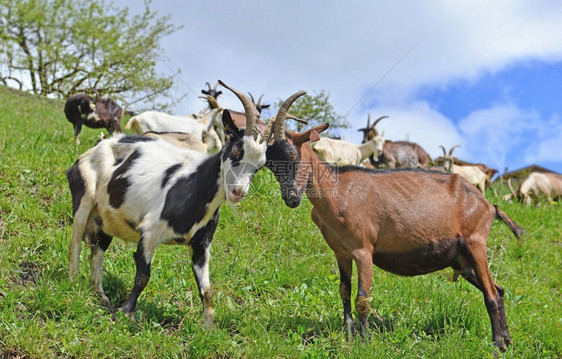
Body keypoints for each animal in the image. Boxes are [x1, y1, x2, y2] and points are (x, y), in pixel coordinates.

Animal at [68, 81, 306, 326]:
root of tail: (100, 145)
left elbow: (207, 290)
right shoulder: (150, 233)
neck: (192, 187)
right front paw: (126, 312)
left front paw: (209, 327)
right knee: (75, 242)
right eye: (236, 150)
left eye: (259, 166)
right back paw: (73, 283)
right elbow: (143, 276)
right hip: (84, 197)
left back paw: (100, 295)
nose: (237, 191)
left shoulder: (201, 245)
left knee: (97, 252)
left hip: (106, 218)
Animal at [274, 124, 520, 352]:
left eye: (293, 154)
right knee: (498, 290)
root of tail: (489, 206)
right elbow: (344, 291)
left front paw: (365, 342)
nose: (291, 197)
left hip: (475, 243)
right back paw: (508, 340)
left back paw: (497, 346)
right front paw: (349, 335)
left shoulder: (363, 250)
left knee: (490, 294)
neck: (337, 191)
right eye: (270, 163)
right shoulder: (341, 252)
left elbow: (362, 299)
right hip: (462, 260)